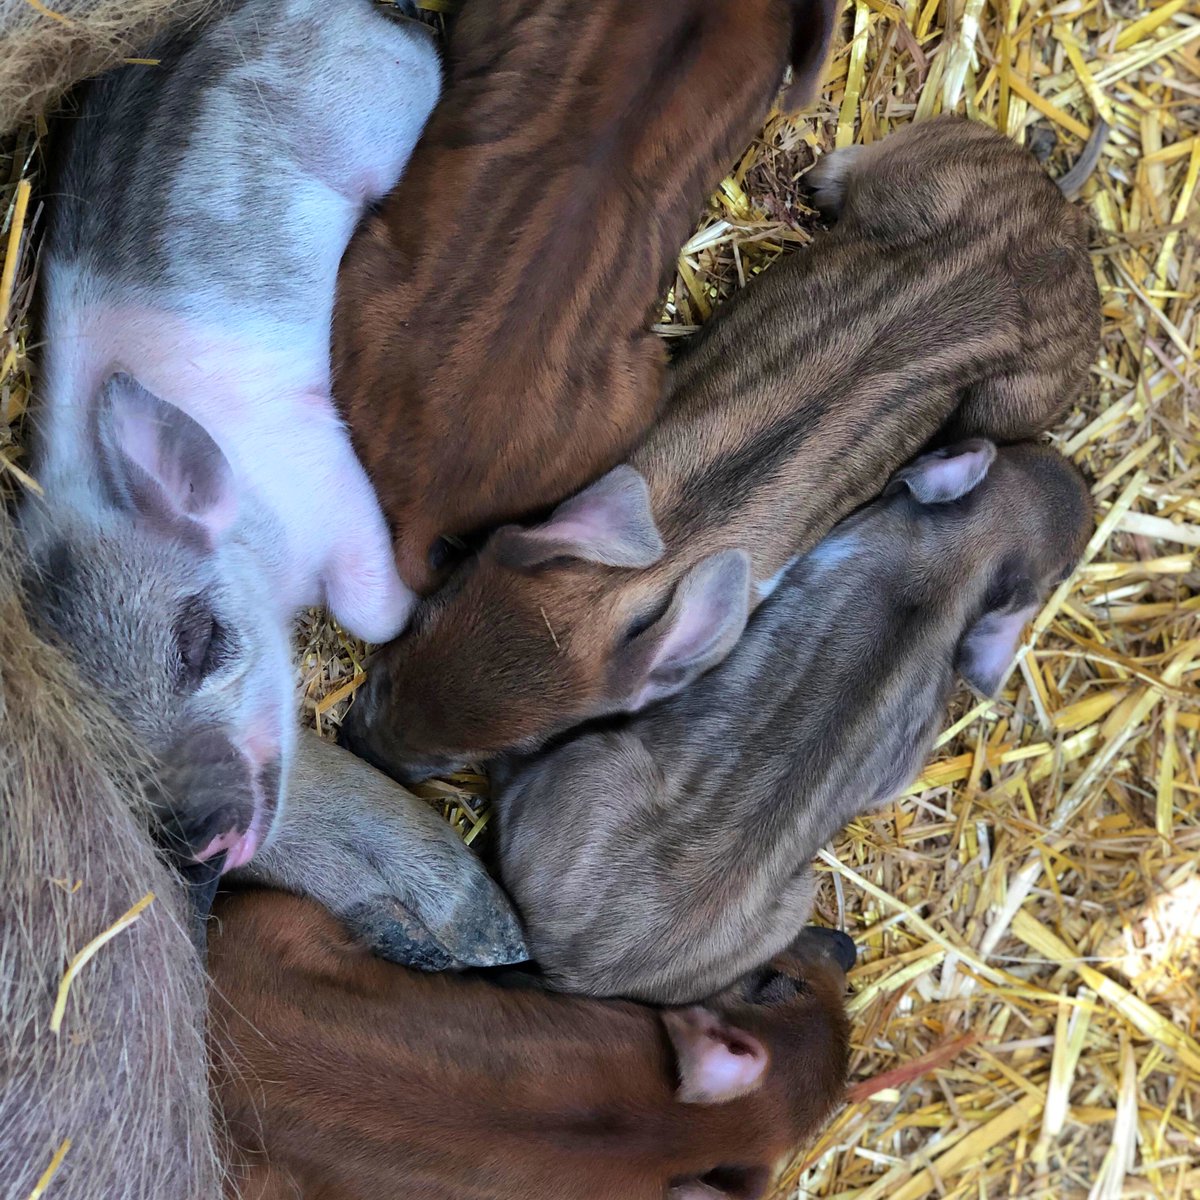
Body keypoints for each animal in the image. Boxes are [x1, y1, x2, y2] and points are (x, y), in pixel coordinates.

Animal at [19, 0, 439, 869]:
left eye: (199, 640)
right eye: (95, 734)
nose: (199, 837)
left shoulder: (324, 467)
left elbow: (371, 612)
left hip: (388, 101)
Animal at [341, 115, 1101, 781]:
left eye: (493, 752)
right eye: (426, 618)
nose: (355, 741)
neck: (633, 576)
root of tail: (1059, 218)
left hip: (1022, 397)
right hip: (937, 163)